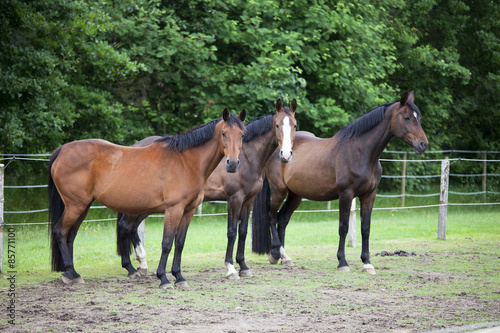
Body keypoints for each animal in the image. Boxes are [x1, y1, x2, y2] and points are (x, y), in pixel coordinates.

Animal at [47, 109, 247, 288]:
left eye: (242, 134)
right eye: (223, 133)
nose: (233, 164)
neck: (187, 161)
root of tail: (62, 150)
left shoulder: (188, 210)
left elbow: (180, 243)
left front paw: (179, 277)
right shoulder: (173, 209)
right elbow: (167, 243)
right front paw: (164, 279)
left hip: (84, 206)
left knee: (71, 235)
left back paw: (73, 274)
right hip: (76, 206)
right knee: (60, 231)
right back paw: (71, 273)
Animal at [117, 98, 296, 278]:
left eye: (294, 125)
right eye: (277, 125)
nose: (286, 155)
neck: (247, 157)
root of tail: (134, 147)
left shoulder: (248, 201)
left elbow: (243, 232)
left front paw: (244, 266)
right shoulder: (234, 198)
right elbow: (232, 232)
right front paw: (231, 268)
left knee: (132, 227)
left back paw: (141, 264)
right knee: (126, 225)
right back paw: (131, 267)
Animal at [252, 92, 428, 274]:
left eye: (419, 117)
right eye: (407, 117)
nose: (423, 144)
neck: (360, 152)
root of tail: (279, 149)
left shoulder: (369, 195)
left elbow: (366, 228)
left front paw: (367, 262)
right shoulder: (346, 194)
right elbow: (343, 227)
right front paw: (342, 262)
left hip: (295, 195)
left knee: (282, 219)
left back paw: (285, 258)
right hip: (279, 190)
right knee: (272, 216)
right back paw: (275, 254)